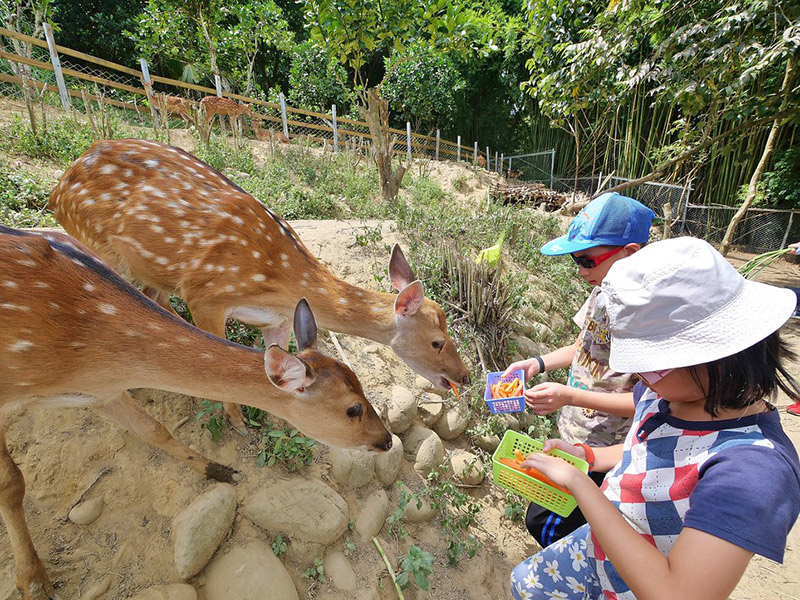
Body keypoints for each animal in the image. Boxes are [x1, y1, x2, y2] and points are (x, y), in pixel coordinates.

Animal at [0, 225, 392, 600]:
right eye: (353, 408)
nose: (387, 440)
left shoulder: (101, 392)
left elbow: (153, 428)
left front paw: (221, 471)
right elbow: (12, 481)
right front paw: (34, 581)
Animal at [48, 139, 470, 433]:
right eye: (437, 341)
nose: (465, 376)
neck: (279, 281)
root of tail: (58, 189)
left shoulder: (279, 320)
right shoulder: (205, 294)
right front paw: (238, 424)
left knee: (155, 296)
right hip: (97, 241)